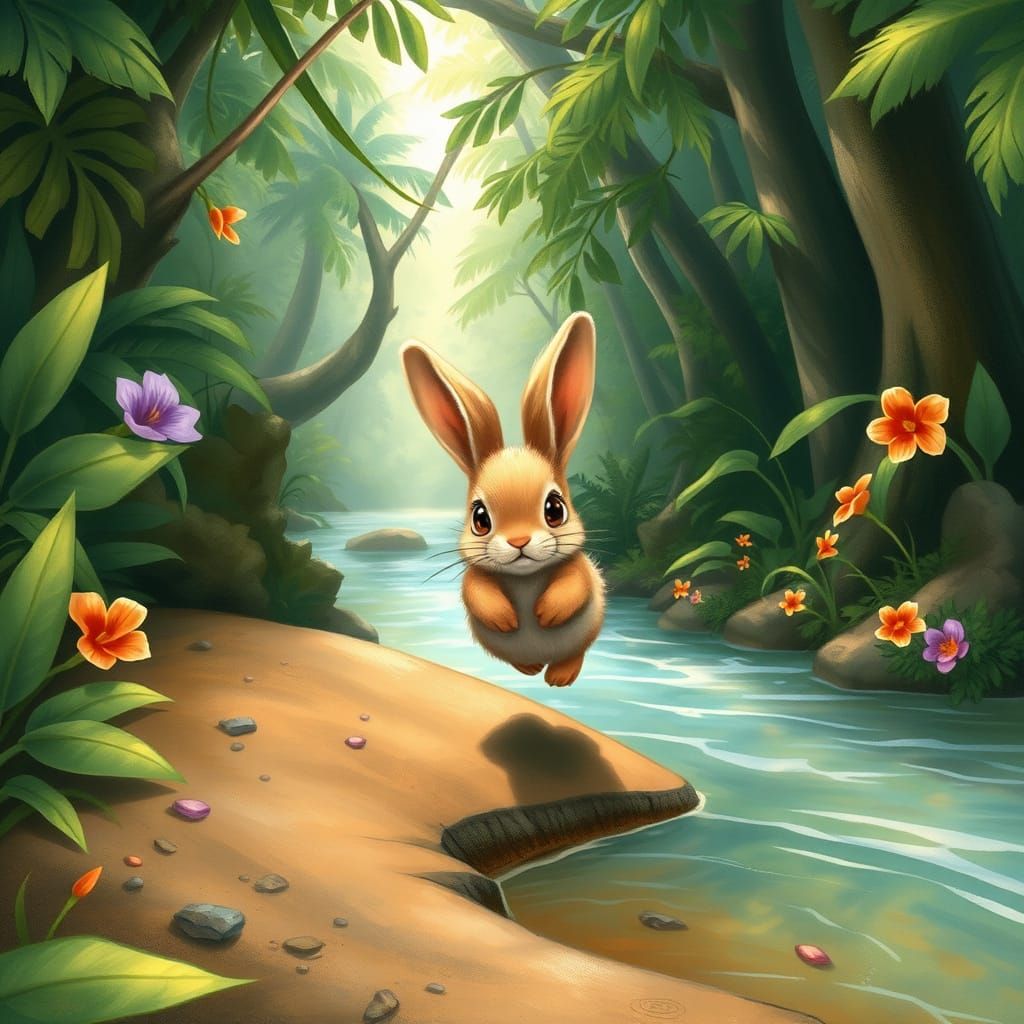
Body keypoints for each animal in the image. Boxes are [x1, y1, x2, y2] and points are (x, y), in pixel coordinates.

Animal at [401, 311, 606, 687]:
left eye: (555, 509)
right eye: (480, 519)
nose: (519, 541)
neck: (524, 577)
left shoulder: (580, 570)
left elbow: (576, 583)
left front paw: (546, 612)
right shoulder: (475, 577)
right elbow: (476, 591)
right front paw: (507, 619)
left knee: (577, 651)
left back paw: (559, 676)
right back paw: (531, 668)